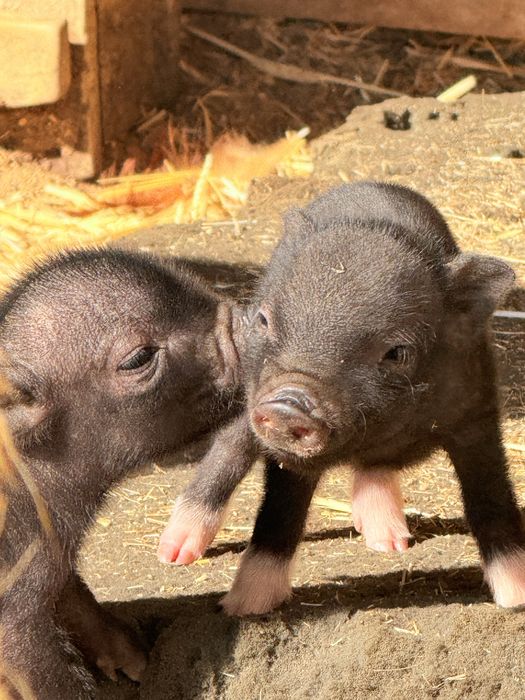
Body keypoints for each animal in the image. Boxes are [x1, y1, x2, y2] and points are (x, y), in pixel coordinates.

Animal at [0, 248, 242, 699]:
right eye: (138, 358)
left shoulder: (56, 560)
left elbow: (78, 600)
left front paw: (139, 664)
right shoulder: (13, 608)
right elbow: (46, 675)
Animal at [159, 182, 525, 616]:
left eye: (396, 352)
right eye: (265, 320)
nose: (288, 404)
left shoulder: (477, 414)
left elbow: (492, 501)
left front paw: (516, 601)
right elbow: (280, 514)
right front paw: (243, 609)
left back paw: (390, 544)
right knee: (229, 449)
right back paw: (172, 554)